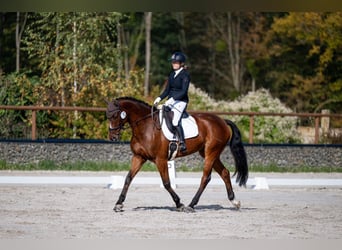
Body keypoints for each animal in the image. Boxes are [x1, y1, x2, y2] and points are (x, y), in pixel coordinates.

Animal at [105, 96, 247, 212]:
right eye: (107, 116)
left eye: (115, 115)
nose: (113, 137)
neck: (146, 126)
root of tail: (222, 121)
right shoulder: (139, 157)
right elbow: (128, 178)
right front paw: (118, 204)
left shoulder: (160, 159)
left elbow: (167, 183)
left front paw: (179, 204)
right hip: (209, 153)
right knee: (225, 173)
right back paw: (235, 201)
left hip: (211, 152)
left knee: (205, 177)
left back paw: (191, 205)